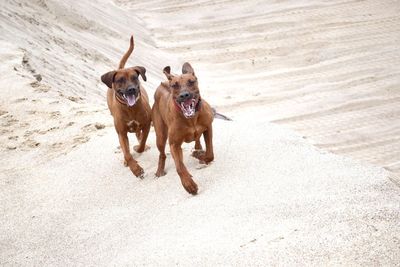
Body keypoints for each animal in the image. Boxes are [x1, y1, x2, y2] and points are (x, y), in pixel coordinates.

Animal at [101, 35, 151, 178]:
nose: (131, 89)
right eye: (120, 80)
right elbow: (127, 153)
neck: (130, 108)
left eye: (134, 77)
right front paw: (135, 168)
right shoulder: (122, 133)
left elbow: (142, 142)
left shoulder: (146, 125)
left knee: (139, 136)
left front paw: (139, 148)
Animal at [152, 62, 214, 195]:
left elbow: (210, 154)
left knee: (197, 140)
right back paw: (160, 170)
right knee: (163, 154)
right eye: (175, 85)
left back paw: (198, 149)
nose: (184, 95)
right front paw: (188, 185)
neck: (191, 119)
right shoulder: (174, 144)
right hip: (160, 136)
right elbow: (179, 167)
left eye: (191, 82)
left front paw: (199, 156)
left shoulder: (208, 127)